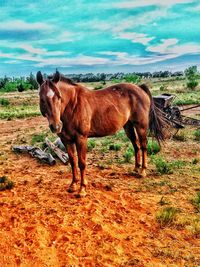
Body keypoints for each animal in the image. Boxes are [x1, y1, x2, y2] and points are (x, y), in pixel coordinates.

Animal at [36, 70, 167, 198]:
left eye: (59, 97)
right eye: (42, 99)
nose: (56, 126)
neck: (72, 105)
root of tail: (139, 88)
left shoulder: (81, 139)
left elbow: (81, 163)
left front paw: (82, 189)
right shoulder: (67, 140)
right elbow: (73, 162)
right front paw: (73, 185)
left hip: (141, 127)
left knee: (144, 146)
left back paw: (143, 171)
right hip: (128, 126)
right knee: (136, 146)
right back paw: (136, 168)